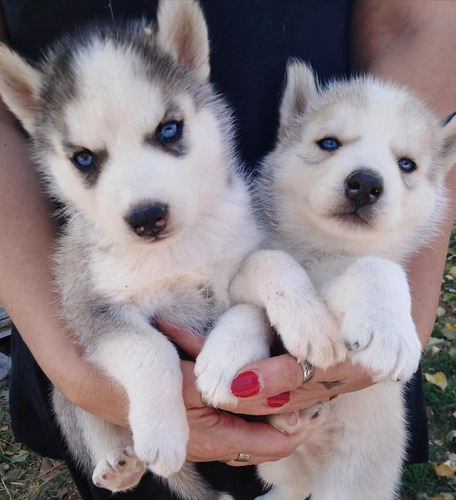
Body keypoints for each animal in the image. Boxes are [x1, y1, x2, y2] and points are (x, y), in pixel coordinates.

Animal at [0, 1, 346, 498]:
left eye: (169, 130)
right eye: (84, 158)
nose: (146, 216)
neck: (177, 252)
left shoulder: (234, 267)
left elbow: (268, 267)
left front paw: (299, 327)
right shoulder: (92, 308)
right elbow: (151, 349)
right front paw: (163, 433)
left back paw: (293, 415)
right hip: (67, 393)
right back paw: (119, 464)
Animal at [251, 60, 456, 498]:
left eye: (406, 164)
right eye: (329, 143)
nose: (365, 184)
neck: (328, 251)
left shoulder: (356, 271)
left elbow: (378, 267)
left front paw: (389, 330)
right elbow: (267, 262)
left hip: (353, 480)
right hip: (276, 462)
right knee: (290, 485)